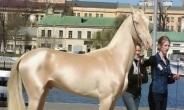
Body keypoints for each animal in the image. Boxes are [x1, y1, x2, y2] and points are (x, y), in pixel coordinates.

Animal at [7, 6, 152, 110]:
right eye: (136, 22)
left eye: (147, 22)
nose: (149, 43)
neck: (114, 59)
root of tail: (25, 56)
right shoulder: (105, 99)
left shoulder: (113, 100)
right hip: (35, 95)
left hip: (43, 93)